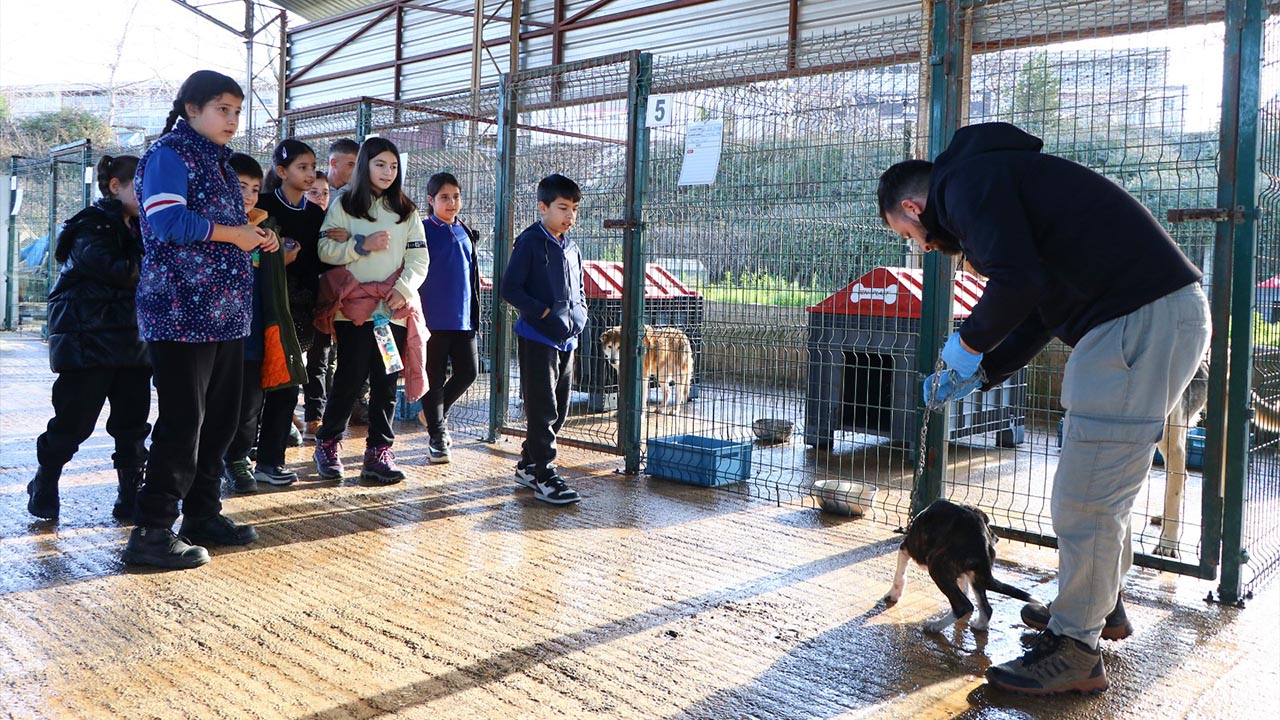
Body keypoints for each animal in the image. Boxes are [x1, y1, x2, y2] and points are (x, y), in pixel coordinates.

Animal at [885, 497, 1034, 630]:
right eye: (989, 523)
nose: (996, 538)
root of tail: (982, 543)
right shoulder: (964, 574)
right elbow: (964, 586)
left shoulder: (907, 547)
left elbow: (900, 573)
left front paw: (893, 594)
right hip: (978, 576)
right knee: (986, 608)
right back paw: (979, 625)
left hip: (937, 566)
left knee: (964, 605)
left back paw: (935, 626)